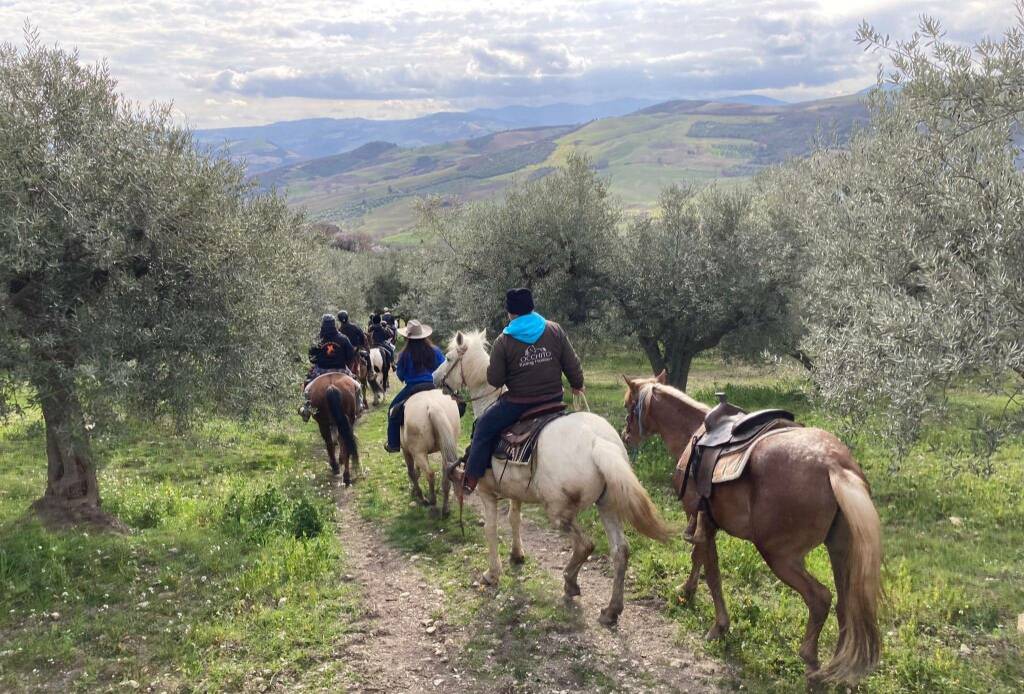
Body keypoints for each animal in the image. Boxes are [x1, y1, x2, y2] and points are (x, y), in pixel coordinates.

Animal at [397, 388, 462, 519]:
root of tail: (432, 406)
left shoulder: (406, 451)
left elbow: (412, 472)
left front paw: (419, 495)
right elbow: (416, 472)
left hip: (419, 453)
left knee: (430, 474)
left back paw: (431, 500)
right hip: (444, 448)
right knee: (446, 476)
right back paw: (445, 509)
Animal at [430, 329, 671, 626]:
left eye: (449, 357)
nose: (434, 378)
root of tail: (598, 443)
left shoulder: (487, 492)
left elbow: (491, 529)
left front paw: (492, 573)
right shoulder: (515, 491)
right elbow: (515, 519)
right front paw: (517, 555)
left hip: (558, 512)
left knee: (585, 544)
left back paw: (570, 582)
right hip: (607, 505)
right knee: (620, 551)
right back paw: (611, 610)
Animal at [618, 372, 884, 687]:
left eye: (629, 404)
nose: (626, 435)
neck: (691, 434)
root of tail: (835, 466)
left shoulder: (702, 521)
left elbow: (710, 570)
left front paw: (718, 626)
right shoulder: (704, 523)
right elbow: (699, 559)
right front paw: (687, 592)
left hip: (779, 555)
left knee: (820, 599)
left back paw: (811, 664)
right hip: (839, 550)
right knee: (845, 605)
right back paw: (836, 670)